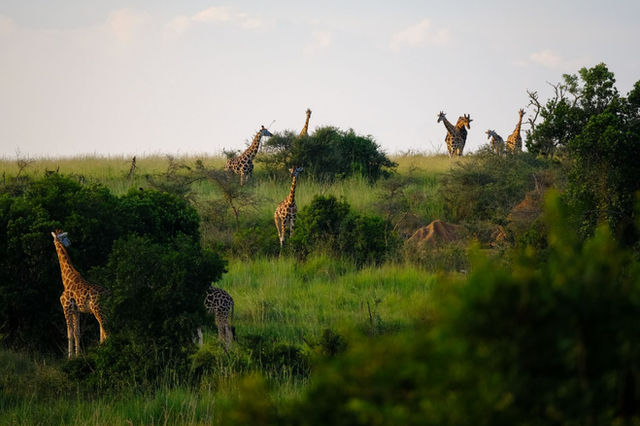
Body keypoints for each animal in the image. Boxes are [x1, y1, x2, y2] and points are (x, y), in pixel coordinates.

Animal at [51, 230, 108, 358]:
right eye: (64, 237)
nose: (70, 243)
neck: (66, 280)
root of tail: (108, 293)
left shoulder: (66, 308)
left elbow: (69, 333)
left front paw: (70, 357)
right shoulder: (76, 311)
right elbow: (77, 332)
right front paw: (77, 355)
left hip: (98, 309)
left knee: (105, 327)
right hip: (102, 310)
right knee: (104, 327)